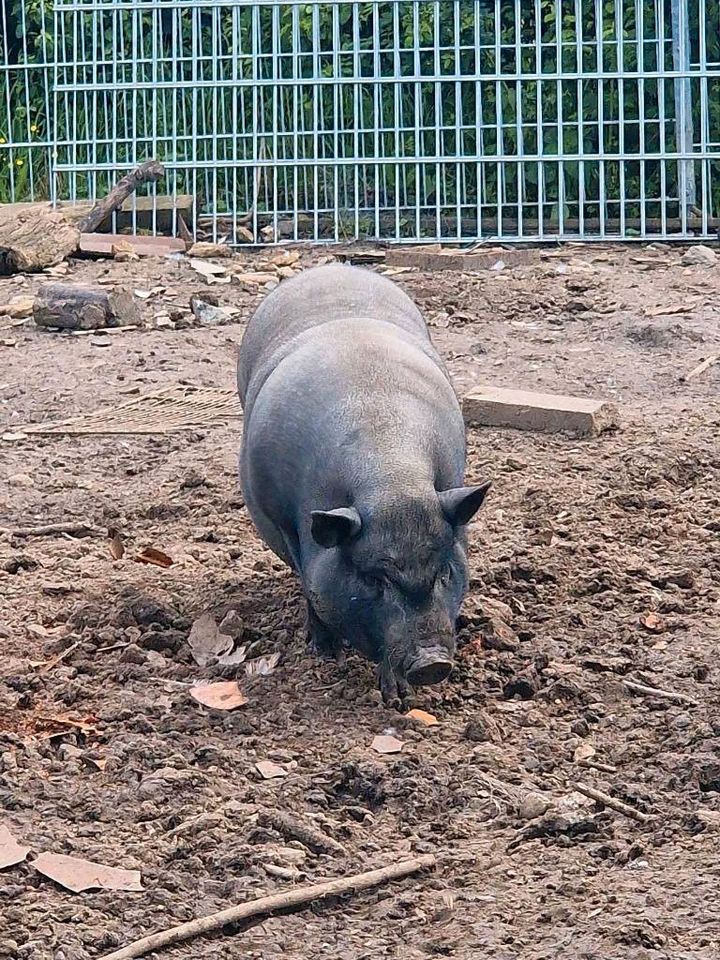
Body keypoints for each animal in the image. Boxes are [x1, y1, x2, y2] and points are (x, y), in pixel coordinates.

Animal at [236, 262, 490, 704]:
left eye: (444, 570)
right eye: (374, 579)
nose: (432, 663)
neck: (391, 479)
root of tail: (331, 267)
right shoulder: (284, 524)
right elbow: (310, 586)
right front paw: (325, 653)